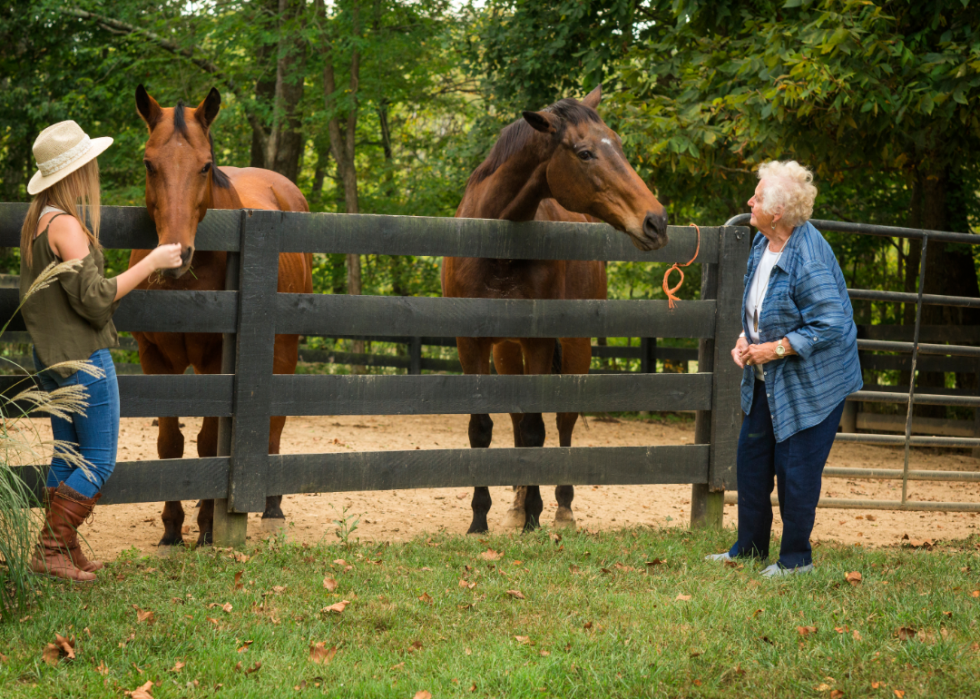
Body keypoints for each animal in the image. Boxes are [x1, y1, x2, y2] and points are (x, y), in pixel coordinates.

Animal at [132, 86, 312, 548]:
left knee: (273, 425)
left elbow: (209, 440)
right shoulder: (155, 357)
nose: (176, 255)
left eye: (205, 166)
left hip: (283, 349)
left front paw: (208, 527)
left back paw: (270, 506)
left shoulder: (216, 358)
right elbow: (170, 443)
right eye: (149, 163)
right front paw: (172, 529)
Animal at [442, 87, 668, 536]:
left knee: (564, 421)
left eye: (618, 144)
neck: (498, 243)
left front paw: (535, 515)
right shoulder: (471, 343)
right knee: (515, 421)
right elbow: (483, 428)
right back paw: (514, 504)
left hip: (576, 346)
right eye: (584, 153)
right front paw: (481, 518)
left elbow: (536, 428)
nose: (656, 221)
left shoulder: (540, 340)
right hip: (506, 353)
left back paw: (562, 507)